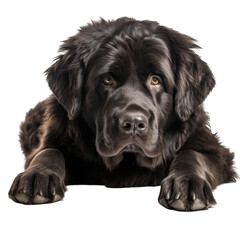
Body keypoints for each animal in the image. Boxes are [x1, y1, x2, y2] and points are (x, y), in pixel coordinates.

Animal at [8, 17, 236, 211]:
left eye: (156, 79)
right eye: (107, 80)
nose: (133, 123)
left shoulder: (214, 149)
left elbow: (192, 154)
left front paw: (187, 183)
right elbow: (48, 152)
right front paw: (37, 177)